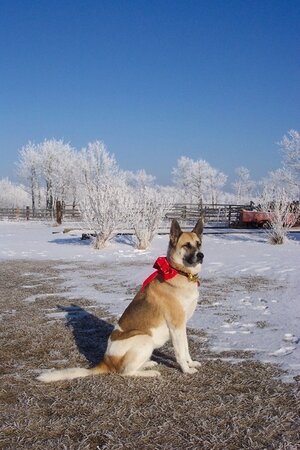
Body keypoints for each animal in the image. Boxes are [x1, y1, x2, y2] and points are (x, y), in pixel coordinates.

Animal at [37, 220, 204, 382]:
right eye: (187, 245)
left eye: (199, 243)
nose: (201, 255)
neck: (180, 273)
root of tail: (107, 361)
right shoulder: (176, 326)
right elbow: (180, 352)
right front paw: (186, 370)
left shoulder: (182, 326)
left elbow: (186, 348)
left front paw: (190, 363)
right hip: (144, 338)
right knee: (126, 372)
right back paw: (150, 373)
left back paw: (148, 364)